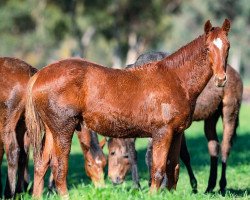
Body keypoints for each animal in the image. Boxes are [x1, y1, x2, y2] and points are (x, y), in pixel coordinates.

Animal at [0, 57, 37, 198]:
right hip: (24, 124)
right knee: (24, 154)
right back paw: (19, 192)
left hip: (8, 122)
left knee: (13, 151)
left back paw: (9, 193)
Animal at [25, 19, 230, 198]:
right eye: (207, 48)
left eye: (227, 47)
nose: (221, 79)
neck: (174, 79)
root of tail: (41, 74)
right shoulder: (162, 133)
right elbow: (158, 169)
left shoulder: (177, 133)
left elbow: (174, 168)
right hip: (63, 131)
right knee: (59, 169)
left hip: (51, 131)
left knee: (41, 165)